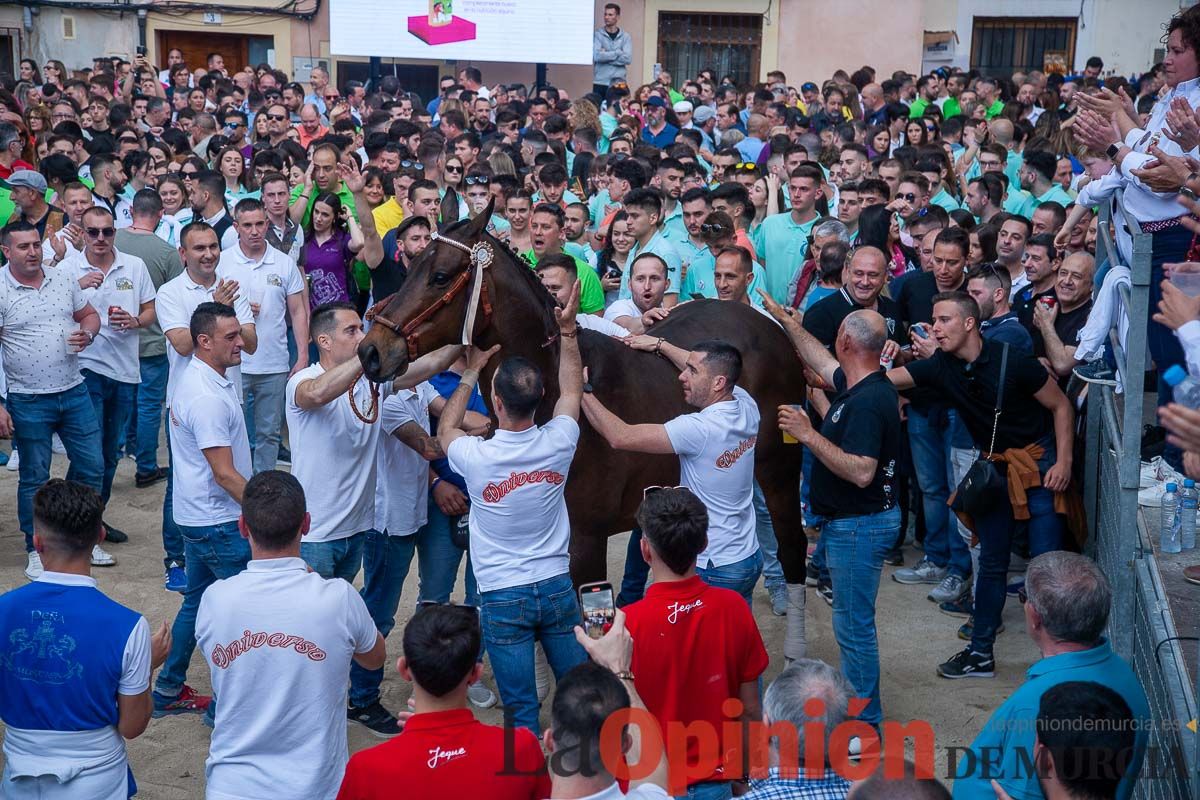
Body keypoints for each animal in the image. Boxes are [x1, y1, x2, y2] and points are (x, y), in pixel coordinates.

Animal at [355, 201, 806, 633]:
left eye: (441, 276)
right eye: (410, 265)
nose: (370, 351)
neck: (554, 393)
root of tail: (768, 325)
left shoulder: (586, 542)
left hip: (780, 471)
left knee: (792, 546)